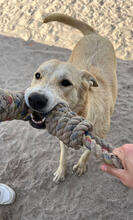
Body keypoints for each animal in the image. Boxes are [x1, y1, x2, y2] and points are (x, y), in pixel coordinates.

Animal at [24, 13, 117, 182]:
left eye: (66, 83)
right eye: (38, 75)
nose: (35, 99)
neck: (83, 114)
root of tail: (95, 34)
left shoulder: (100, 136)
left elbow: (88, 152)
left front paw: (81, 165)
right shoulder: (62, 135)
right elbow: (63, 155)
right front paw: (61, 171)